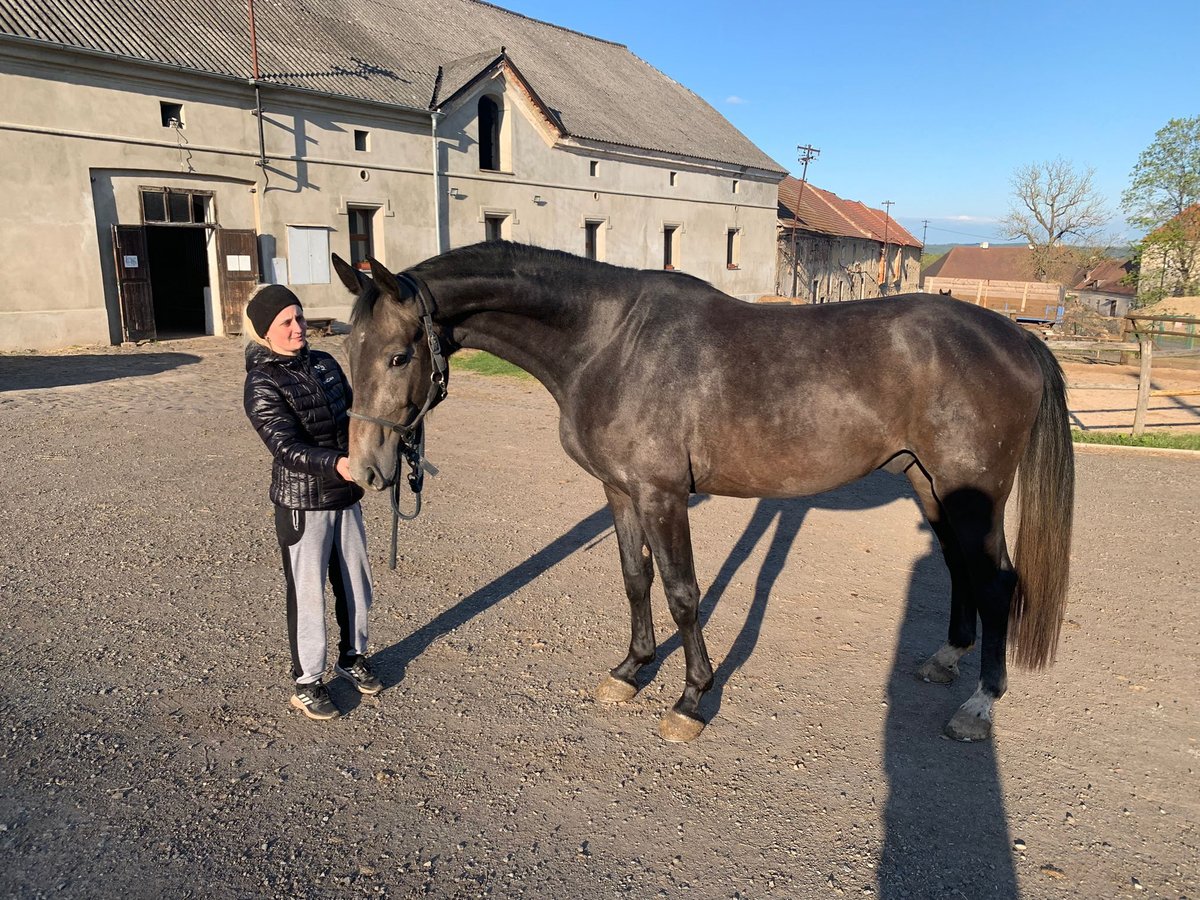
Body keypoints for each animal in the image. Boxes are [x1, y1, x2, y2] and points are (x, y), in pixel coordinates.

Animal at [332, 241, 1074, 744]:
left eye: (398, 355)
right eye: (348, 349)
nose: (363, 469)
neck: (608, 341)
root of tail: (1012, 336)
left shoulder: (662, 495)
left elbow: (684, 593)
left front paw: (691, 700)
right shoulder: (620, 491)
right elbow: (635, 579)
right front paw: (631, 671)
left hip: (970, 490)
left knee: (997, 582)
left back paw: (979, 705)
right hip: (928, 483)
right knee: (957, 567)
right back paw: (946, 661)